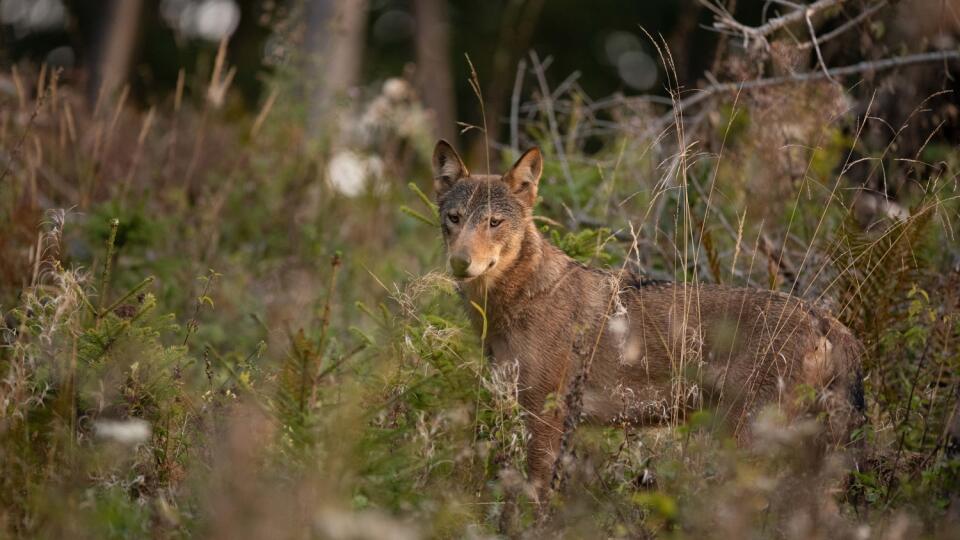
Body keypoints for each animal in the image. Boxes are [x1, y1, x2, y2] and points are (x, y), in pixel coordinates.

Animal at [432, 140, 868, 502]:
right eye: (454, 218)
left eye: (493, 222)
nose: (460, 262)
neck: (510, 304)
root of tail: (825, 318)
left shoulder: (544, 417)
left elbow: (531, 500)